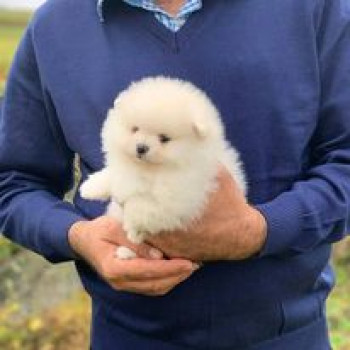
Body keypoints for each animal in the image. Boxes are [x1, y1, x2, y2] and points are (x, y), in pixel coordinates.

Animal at [81, 76, 247, 258]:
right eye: (135, 129)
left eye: (164, 138)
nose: (141, 147)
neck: (151, 169)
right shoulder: (125, 172)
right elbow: (113, 174)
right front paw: (89, 187)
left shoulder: (177, 199)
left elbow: (140, 205)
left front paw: (132, 228)